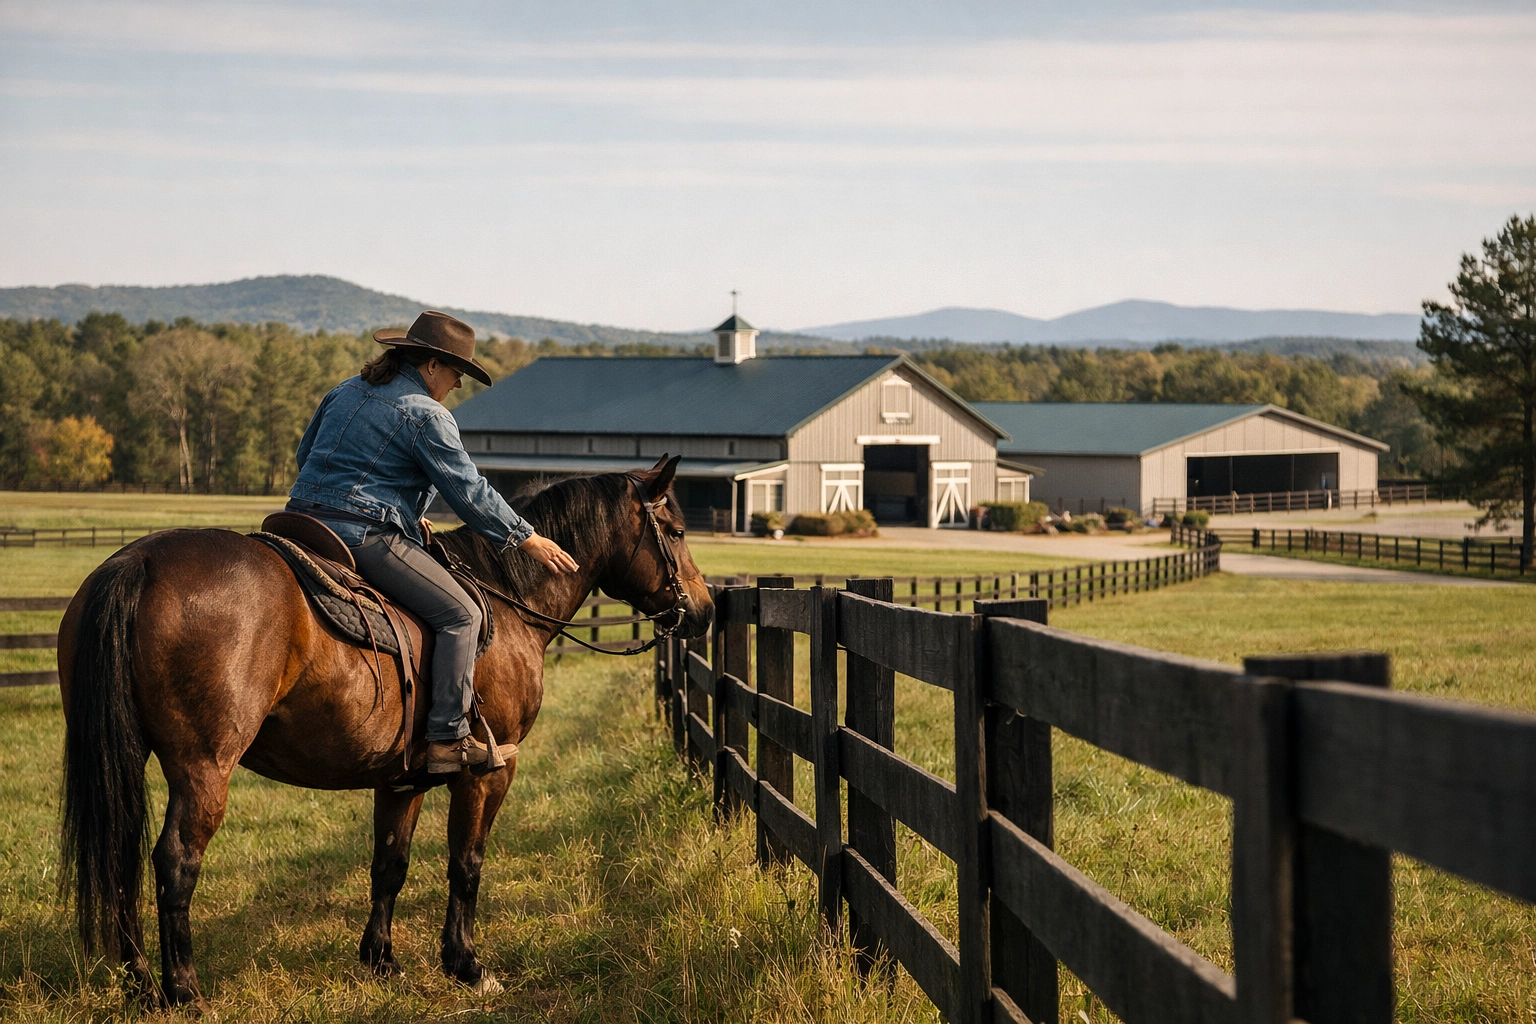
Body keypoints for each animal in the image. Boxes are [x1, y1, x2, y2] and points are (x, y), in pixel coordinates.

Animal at [56, 455, 713, 1009]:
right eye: (677, 531)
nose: (704, 611)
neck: (508, 600)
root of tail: (138, 563)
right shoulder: (492, 770)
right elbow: (466, 863)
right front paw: (465, 964)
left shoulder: (403, 780)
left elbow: (389, 864)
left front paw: (381, 960)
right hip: (203, 768)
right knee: (174, 862)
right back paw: (183, 990)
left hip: (125, 759)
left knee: (123, 859)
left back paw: (140, 982)